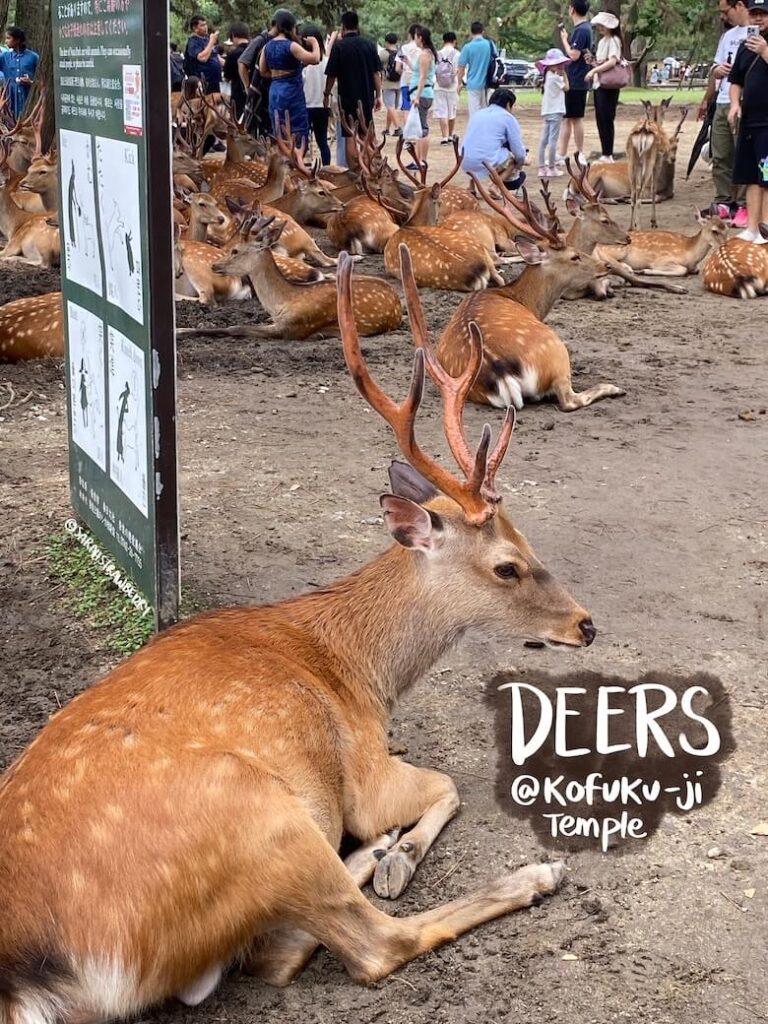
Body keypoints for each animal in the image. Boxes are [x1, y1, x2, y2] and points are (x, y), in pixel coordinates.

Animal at [0, 245, 593, 1024]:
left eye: (526, 541)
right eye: (507, 565)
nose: (586, 624)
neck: (362, 672)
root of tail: (32, 977)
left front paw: (393, 851)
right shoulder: (365, 770)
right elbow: (447, 784)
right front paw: (400, 853)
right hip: (267, 818)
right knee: (362, 945)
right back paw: (513, 872)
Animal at [177, 216, 399, 339]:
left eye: (235, 250)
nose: (214, 265)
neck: (283, 302)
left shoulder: (293, 327)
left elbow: (235, 327)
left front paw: (180, 331)